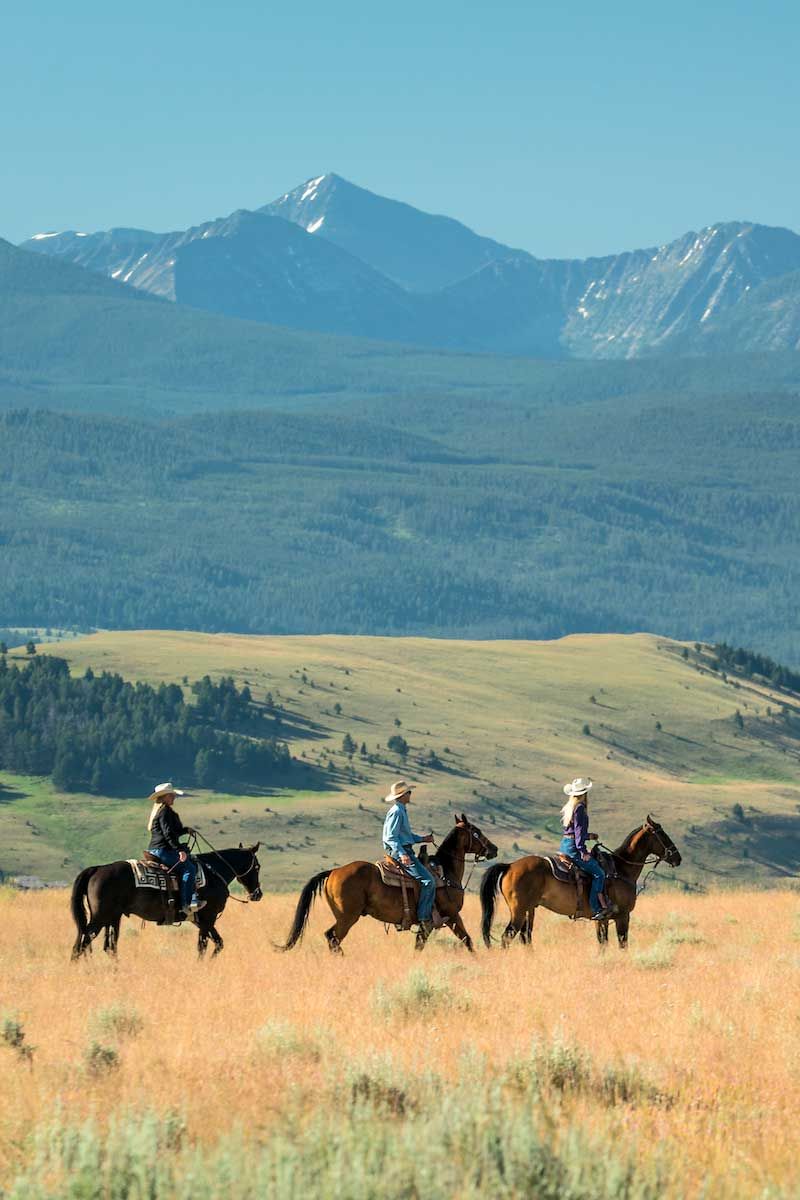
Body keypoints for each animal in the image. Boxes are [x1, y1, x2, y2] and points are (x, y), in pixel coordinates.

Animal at [69, 849, 262, 960]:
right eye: (257, 867)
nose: (257, 894)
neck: (213, 873)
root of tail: (98, 868)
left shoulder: (200, 920)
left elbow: (217, 943)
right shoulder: (208, 917)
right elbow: (204, 946)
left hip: (112, 917)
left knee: (108, 947)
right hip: (100, 916)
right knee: (83, 943)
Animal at [280, 816, 494, 955]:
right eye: (476, 832)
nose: (494, 849)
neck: (445, 872)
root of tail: (333, 872)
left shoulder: (428, 925)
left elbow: (419, 946)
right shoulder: (451, 915)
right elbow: (468, 941)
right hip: (347, 917)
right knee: (332, 937)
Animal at [482, 820, 681, 950]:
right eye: (662, 834)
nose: (677, 857)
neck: (621, 869)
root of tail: (510, 866)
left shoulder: (600, 919)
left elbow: (603, 943)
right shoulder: (623, 916)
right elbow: (622, 943)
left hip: (528, 911)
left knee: (525, 937)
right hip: (518, 911)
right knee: (507, 938)